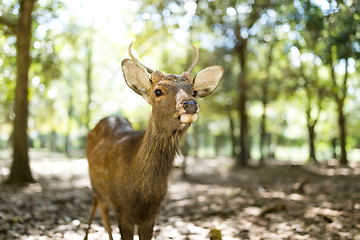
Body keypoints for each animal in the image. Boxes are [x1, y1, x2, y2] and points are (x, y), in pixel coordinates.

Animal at [84, 42, 224, 239]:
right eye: (158, 91)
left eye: (194, 91)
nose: (189, 105)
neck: (142, 196)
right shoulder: (121, 209)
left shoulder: (152, 214)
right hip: (97, 187)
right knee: (102, 216)